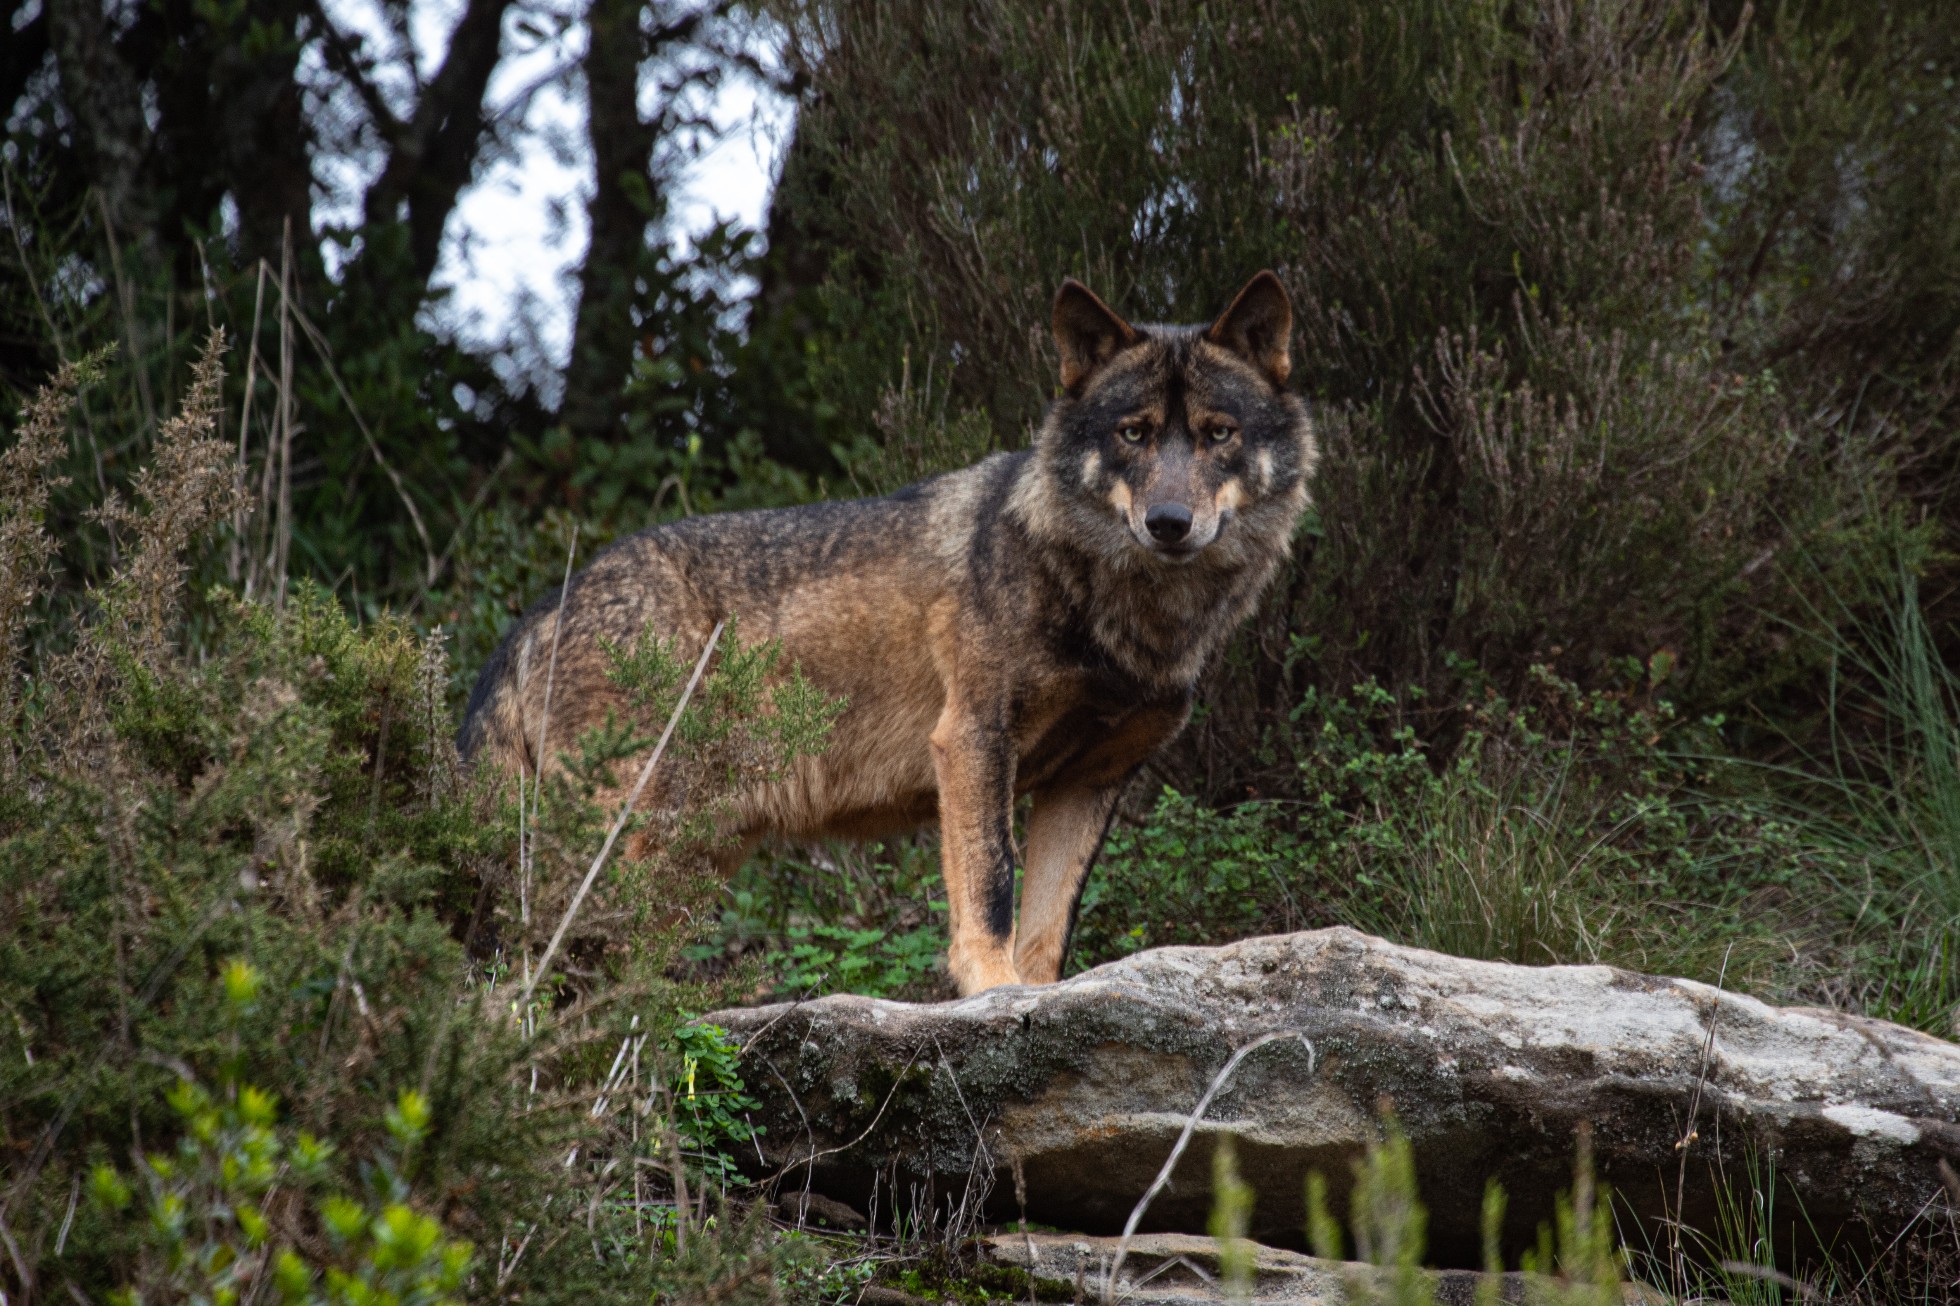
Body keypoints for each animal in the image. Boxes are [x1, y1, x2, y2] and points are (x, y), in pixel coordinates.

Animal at [461, 271, 1317, 995]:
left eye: (1217, 434)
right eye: (1134, 435)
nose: (1168, 523)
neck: (1123, 614)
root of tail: (545, 607)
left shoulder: (1089, 784)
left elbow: (1047, 929)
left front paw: (1038, 999)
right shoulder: (972, 739)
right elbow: (991, 883)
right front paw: (992, 992)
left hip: (690, 856)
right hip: (629, 835)